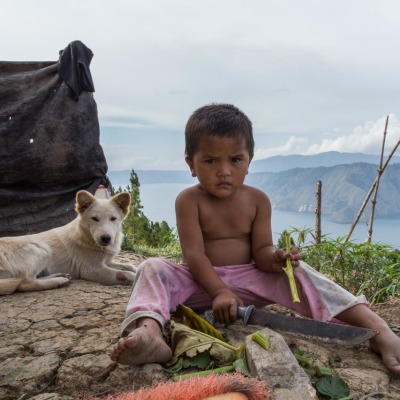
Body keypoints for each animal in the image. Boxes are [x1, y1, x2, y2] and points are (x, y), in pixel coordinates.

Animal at [0, 189, 137, 296]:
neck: (86, 237)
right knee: (25, 282)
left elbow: (129, 266)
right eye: (94, 218)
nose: (106, 238)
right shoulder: (92, 269)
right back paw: (58, 281)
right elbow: (126, 273)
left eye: (113, 219)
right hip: (40, 250)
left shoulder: (106, 262)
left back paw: (59, 276)